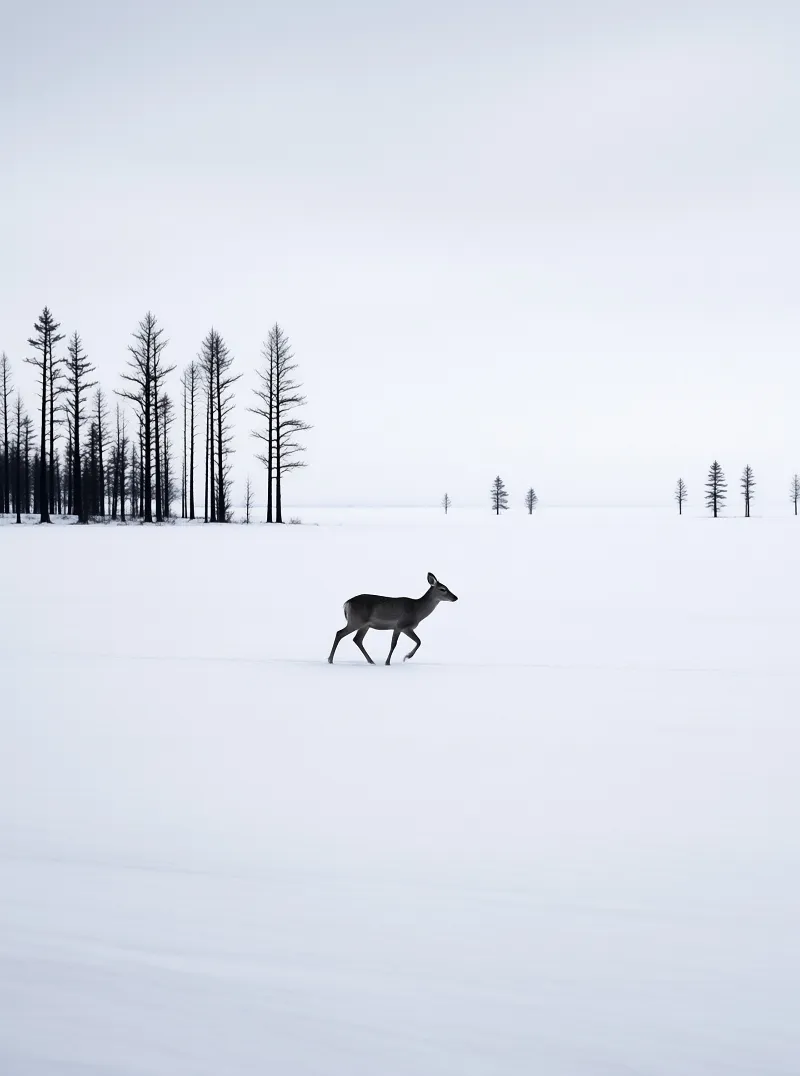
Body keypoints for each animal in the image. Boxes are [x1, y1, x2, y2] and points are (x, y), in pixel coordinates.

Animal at [328, 572, 458, 665]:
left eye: (447, 587)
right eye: (442, 589)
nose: (455, 597)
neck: (417, 610)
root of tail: (346, 603)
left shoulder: (407, 628)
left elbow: (419, 641)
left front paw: (406, 657)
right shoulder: (400, 625)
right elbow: (394, 644)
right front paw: (389, 662)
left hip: (365, 625)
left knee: (357, 639)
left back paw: (371, 661)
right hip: (356, 621)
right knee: (340, 633)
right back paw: (330, 660)